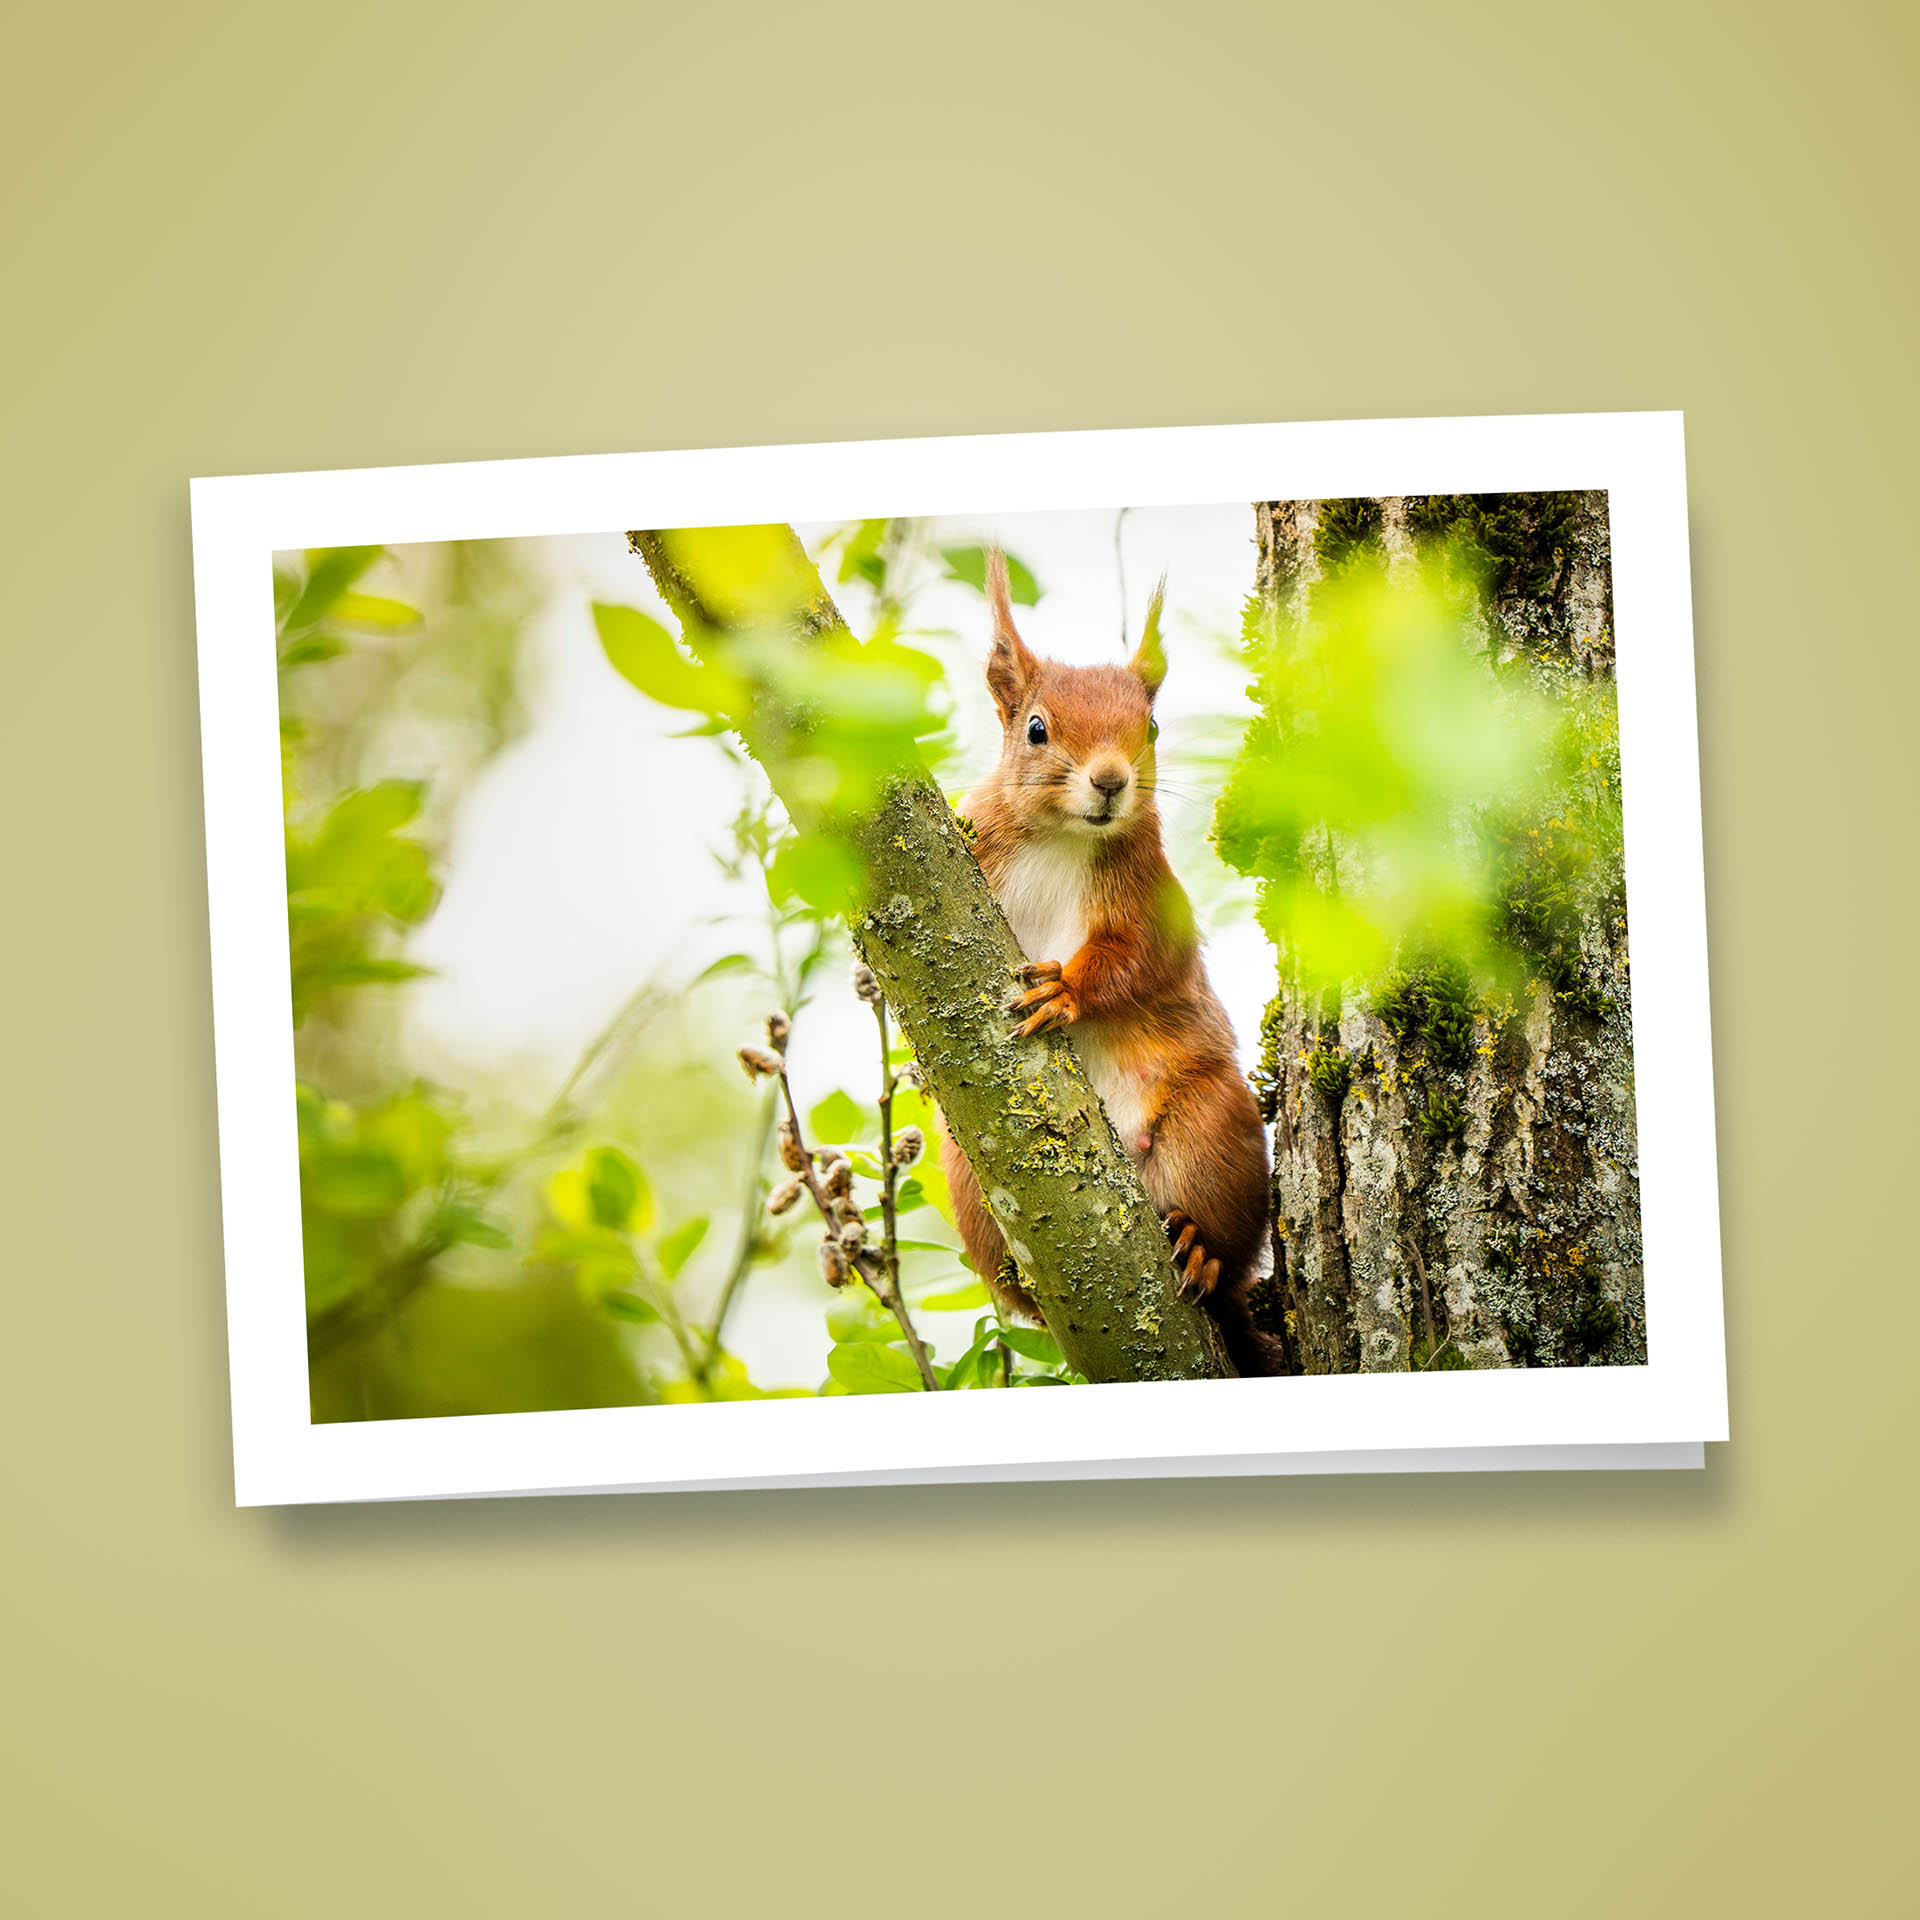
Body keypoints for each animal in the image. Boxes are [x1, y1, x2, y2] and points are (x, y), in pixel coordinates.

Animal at [940, 550, 1281, 1377]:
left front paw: (1065, 987)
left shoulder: (1151, 900)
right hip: (967, 1175)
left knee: (1226, 1255)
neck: (1064, 836)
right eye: (1036, 728)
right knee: (1017, 1291)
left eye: (1149, 726)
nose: (1109, 779)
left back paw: (1199, 1252)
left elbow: (1139, 961)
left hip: (1213, 1132)